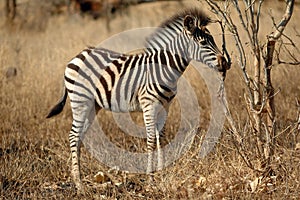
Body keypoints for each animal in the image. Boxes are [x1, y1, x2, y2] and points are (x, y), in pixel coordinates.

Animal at [47, 8, 230, 189]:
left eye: (213, 40)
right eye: (203, 43)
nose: (226, 63)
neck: (164, 70)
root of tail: (77, 56)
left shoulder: (165, 107)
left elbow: (160, 138)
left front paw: (161, 174)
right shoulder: (149, 105)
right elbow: (150, 140)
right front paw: (150, 179)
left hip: (93, 105)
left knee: (79, 136)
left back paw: (77, 179)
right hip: (80, 100)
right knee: (73, 135)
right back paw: (79, 185)